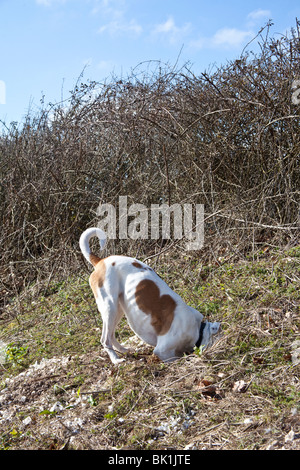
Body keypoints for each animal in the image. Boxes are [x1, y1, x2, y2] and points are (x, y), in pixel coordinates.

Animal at [79, 228, 220, 364]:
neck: (198, 329)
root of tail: (101, 261)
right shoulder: (162, 352)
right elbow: (174, 356)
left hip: (118, 309)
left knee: (112, 335)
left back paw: (124, 350)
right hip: (109, 306)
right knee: (105, 339)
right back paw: (116, 359)